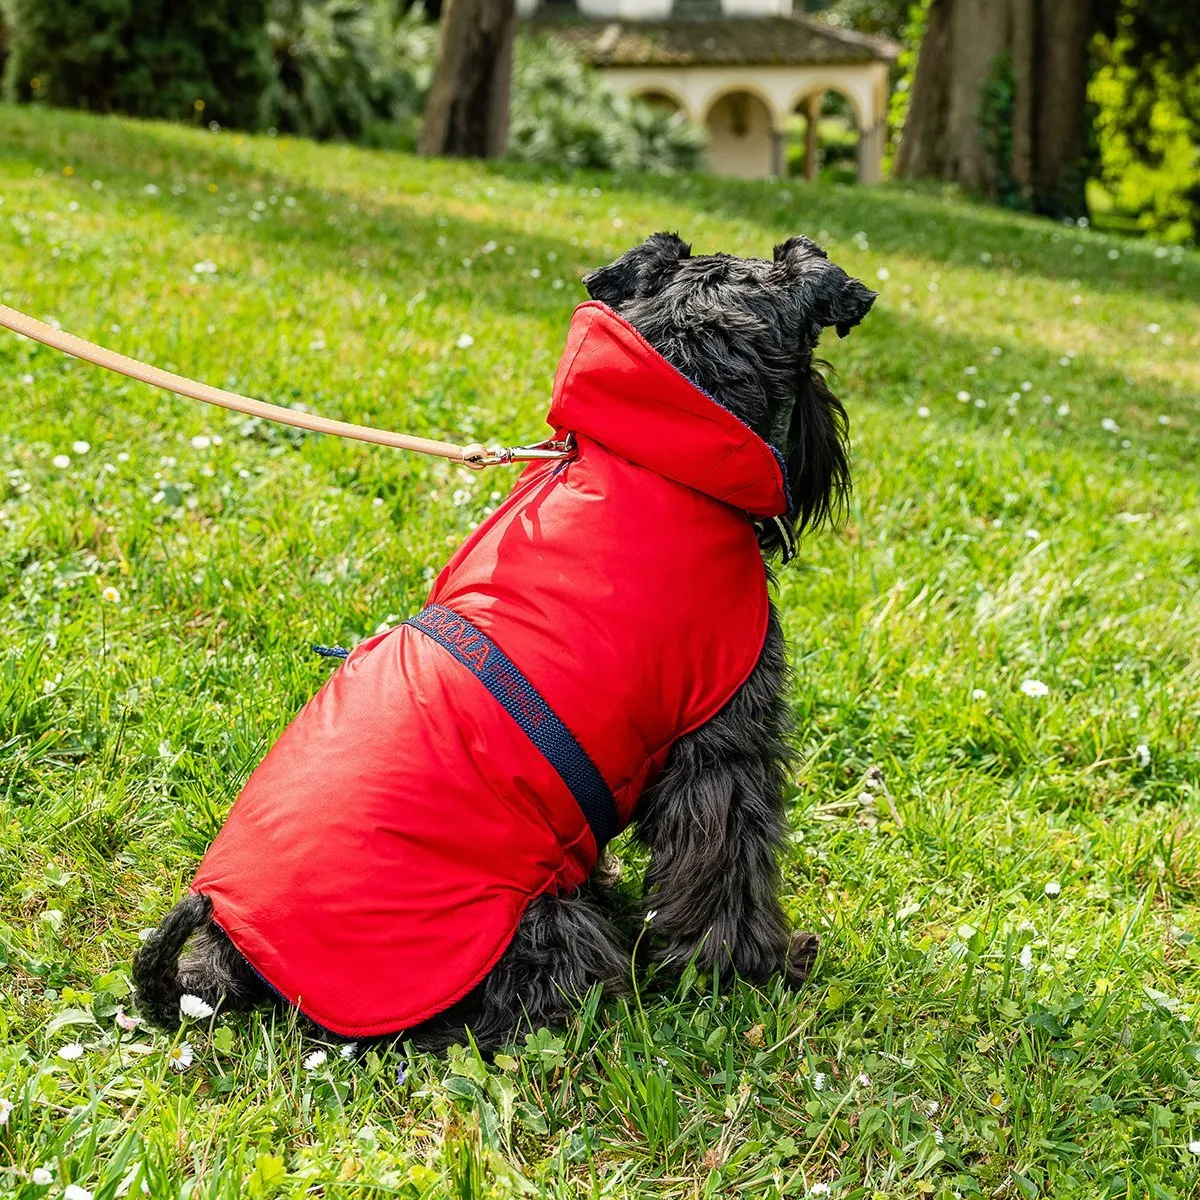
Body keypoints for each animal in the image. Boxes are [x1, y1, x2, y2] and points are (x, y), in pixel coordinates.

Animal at [136, 229, 878, 1046]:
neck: (647, 457)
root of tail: (231, 963)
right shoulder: (723, 744)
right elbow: (727, 869)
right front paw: (753, 971)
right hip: (536, 938)